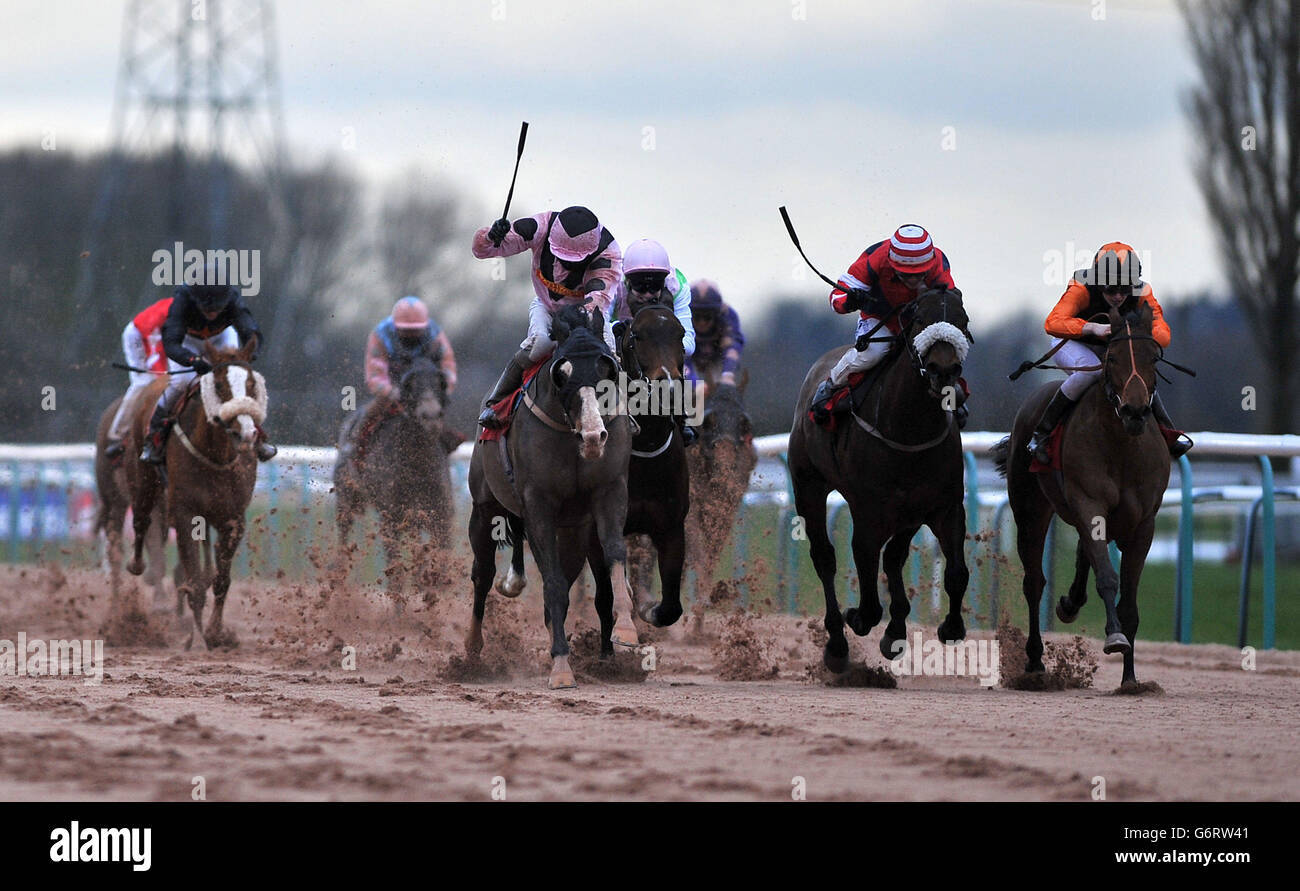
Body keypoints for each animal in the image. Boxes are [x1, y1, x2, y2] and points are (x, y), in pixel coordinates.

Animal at [122, 340, 265, 645]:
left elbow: (221, 579)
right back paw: (137, 564)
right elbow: (195, 581)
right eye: (219, 385)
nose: (247, 433)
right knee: (141, 519)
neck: (216, 455)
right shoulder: (185, 512)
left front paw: (216, 632)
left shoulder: (234, 518)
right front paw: (198, 639)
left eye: (251, 385)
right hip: (142, 477)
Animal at [332, 353, 465, 598]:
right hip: (346, 499)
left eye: (441, 382)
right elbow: (396, 577)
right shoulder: (391, 519)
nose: (431, 416)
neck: (417, 467)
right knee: (343, 533)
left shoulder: (441, 517)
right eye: (409, 384)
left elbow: (439, 569)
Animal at [470, 305, 637, 686]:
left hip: (573, 531)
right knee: (482, 574)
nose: (594, 436)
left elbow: (615, 553)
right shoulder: (538, 505)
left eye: (609, 369)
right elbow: (553, 582)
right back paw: (470, 652)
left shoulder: (610, 491)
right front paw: (561, 666)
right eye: (562, 372)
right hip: (484, 508)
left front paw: (627, 630)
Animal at [993, 301, 1170, 686]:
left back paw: (1070, 604)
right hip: (1031, 509)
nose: (1135, 411)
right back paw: (1035, 662)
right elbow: (1107, 577)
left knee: (1081, 553)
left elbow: (1129, 602)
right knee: (1034, 581)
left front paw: (1130, 678)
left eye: (1153, 357)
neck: (1122, 447)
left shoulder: (1144, 523)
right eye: (1113, 357)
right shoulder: (1089, 503)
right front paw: (1115, 637)